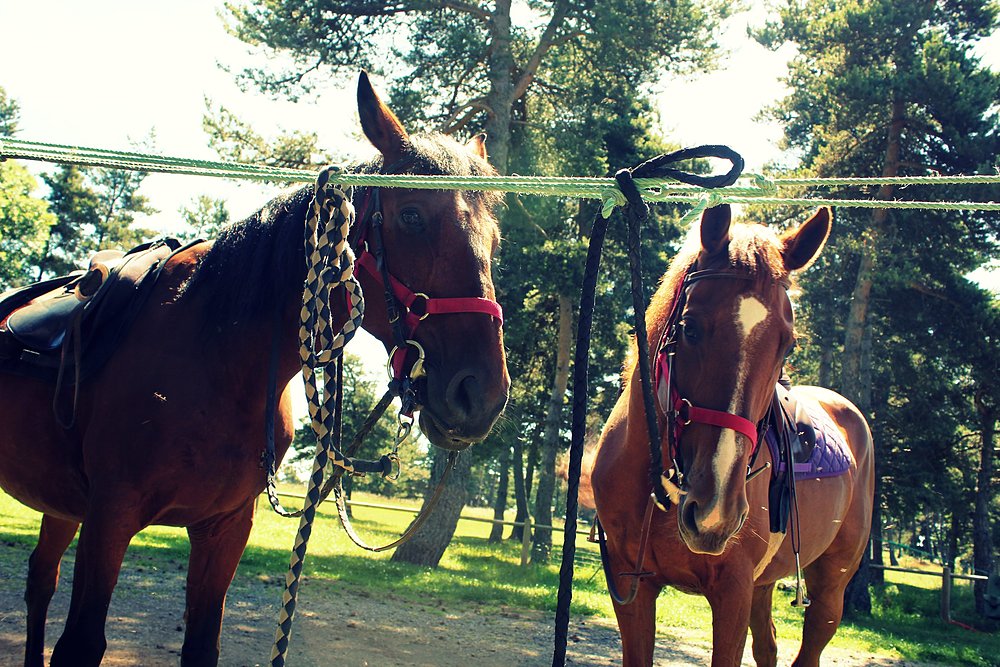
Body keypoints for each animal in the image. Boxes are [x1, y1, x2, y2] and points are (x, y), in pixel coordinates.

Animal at [0, 70, 508, 664]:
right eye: (412, 217)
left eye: (494, 240)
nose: (481, 394)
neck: (216, 359)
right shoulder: (110, 516)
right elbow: (80, 642)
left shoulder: (225, 530)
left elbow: (202, 644)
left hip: (62, 505)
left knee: (41, 581)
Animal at [588, 205, 872, 667]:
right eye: (689, 328)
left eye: (788, 346)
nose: (715, 512)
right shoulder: (631, 585)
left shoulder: (733, 591)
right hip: (764, 586)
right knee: (768, 644)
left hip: (831, 587)